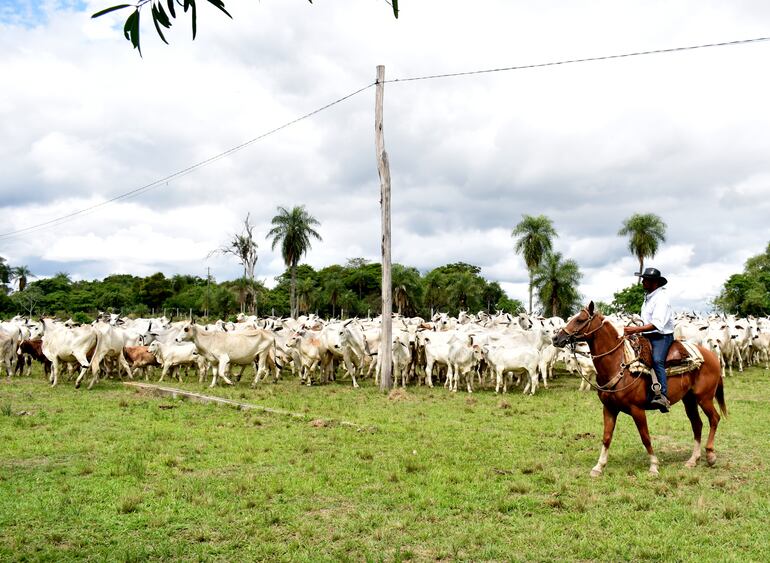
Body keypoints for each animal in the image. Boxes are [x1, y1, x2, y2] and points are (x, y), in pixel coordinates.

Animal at [552, 304, 728, 476]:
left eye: (580, 319)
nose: (556, 338)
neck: (619, 363)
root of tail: (711, 356)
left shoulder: (637, 409)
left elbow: (645, 437)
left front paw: (654, 466)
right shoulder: (609, 408)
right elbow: (607, 437)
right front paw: (598, 466)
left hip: (704, 397)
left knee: (714, 418)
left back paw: (710, 455)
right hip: (689, 399)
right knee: (697, 424)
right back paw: (693, 460)